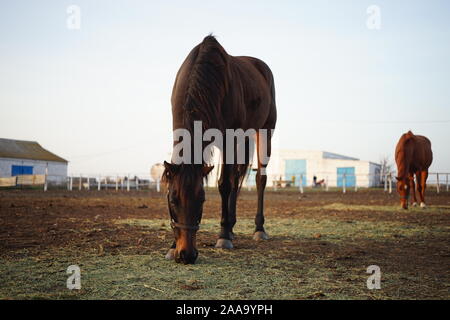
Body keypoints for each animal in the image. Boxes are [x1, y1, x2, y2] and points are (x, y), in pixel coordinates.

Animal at [160, 35, 276, 264]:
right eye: (173, 199)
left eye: (202, 199)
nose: (186, 255)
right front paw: (171, 246)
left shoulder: (228, 139)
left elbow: (224, 185)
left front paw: (223, 236)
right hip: (243, 139)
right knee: (237, 177)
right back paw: (231, 227)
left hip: (264, 132)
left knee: (260, 178)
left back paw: (258, 229)